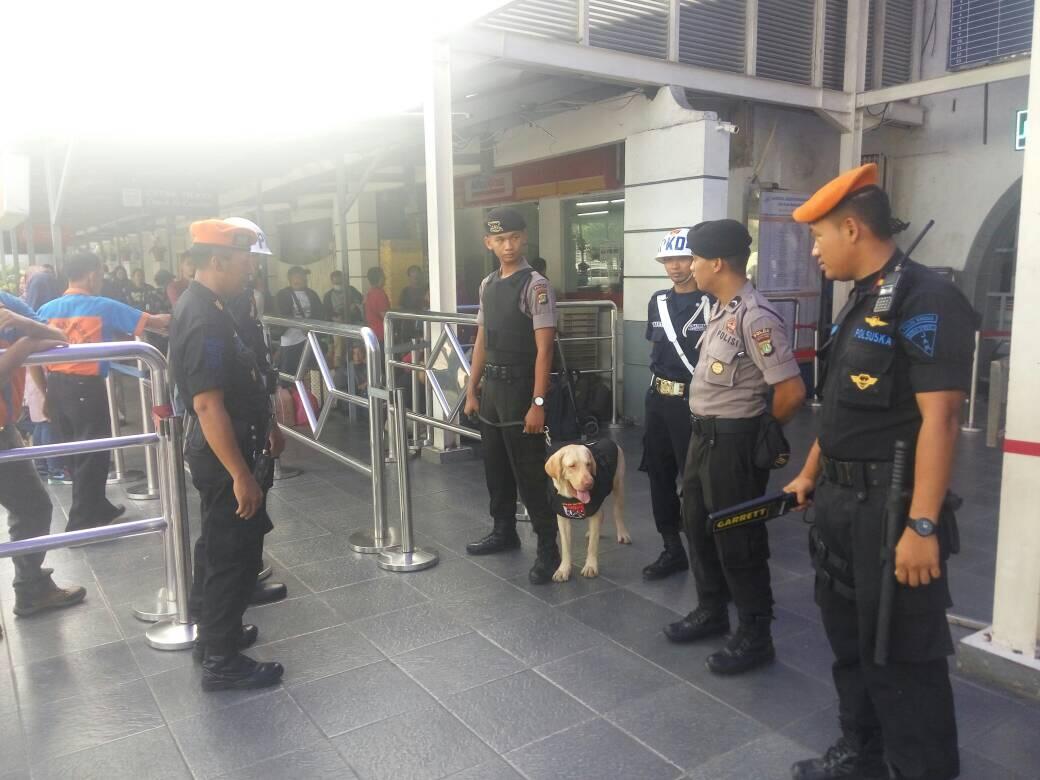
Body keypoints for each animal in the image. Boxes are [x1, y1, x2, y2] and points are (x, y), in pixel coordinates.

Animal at [549, 440, 628, 582]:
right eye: (572, 466)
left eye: (588, 464)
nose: (590, 483)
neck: (572, 498)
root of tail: (607, 439)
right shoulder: (562, 518)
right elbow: (565, 546)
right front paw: (563, 569)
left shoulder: (595, 513)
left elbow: (592, 545)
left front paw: (590, 566)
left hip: (618, 486)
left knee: (617, 512)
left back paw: (622, 533)